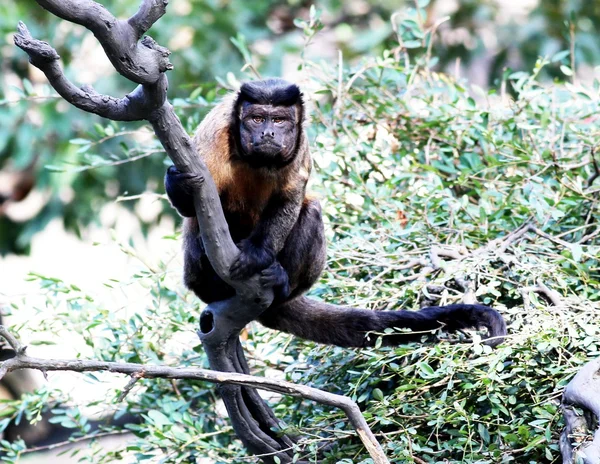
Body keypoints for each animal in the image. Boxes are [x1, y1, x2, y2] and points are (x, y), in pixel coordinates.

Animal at [165, 79, 506, 348]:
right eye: (257, 118)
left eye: (279, 121)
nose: (267, 134)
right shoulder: (213, 131)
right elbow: (192, 206)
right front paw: (177, 183)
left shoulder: (301, 144)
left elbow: (290, 199)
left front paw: (256, 255)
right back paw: (214, 283)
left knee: (311, 211)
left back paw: (279, 284)